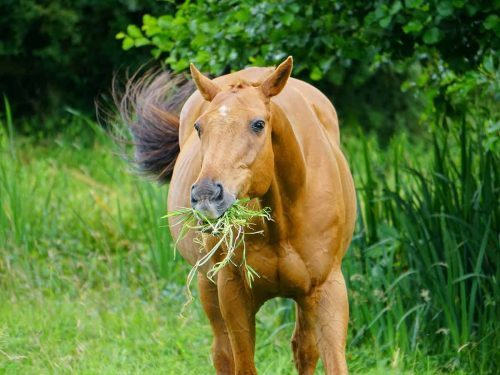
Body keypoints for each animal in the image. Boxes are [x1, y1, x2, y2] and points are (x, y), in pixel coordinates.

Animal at [120, 56, 356, 375]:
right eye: (199, 127)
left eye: (258, 124)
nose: (206, 194)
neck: (283, 223)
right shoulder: (234, 293)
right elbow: (242, 363)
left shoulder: (327, 291)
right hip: (208, 285)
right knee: (222, 353)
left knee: (304, 350)